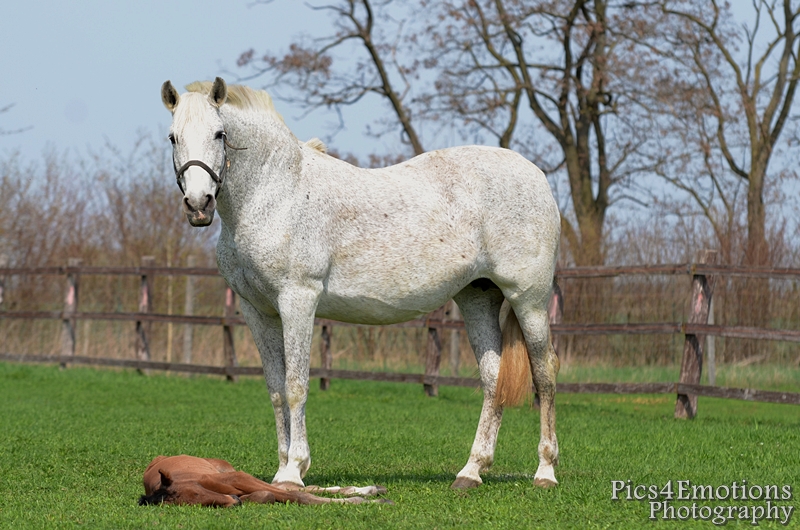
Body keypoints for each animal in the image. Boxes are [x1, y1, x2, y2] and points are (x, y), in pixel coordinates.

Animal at [161, 77, 564, 486]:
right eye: (173, 137)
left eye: (219, 133)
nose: (199, 204)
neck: (276, 193)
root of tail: (537, 176)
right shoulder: (256, 310)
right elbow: (275, 390)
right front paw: (280, 471)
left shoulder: (297, 300)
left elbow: (296, 386)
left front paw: (294, 471)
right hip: (478, 296)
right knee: (493, 377)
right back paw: (471, 471)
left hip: (528, 299)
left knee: (544, 372)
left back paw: (545, 470)